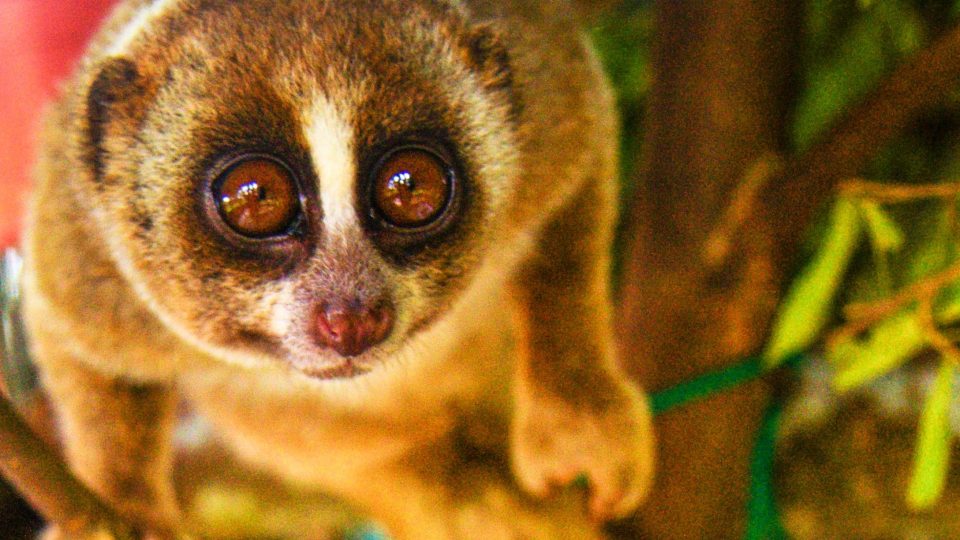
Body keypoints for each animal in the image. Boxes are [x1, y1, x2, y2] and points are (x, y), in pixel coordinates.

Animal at [22, 0, 654, 538]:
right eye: (254, 197)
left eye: (411, 187)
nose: (352, 316)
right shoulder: (87, 261)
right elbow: (76, 344)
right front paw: (126, 506)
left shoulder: (548, 105)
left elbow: (572, 213)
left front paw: (579, 427)